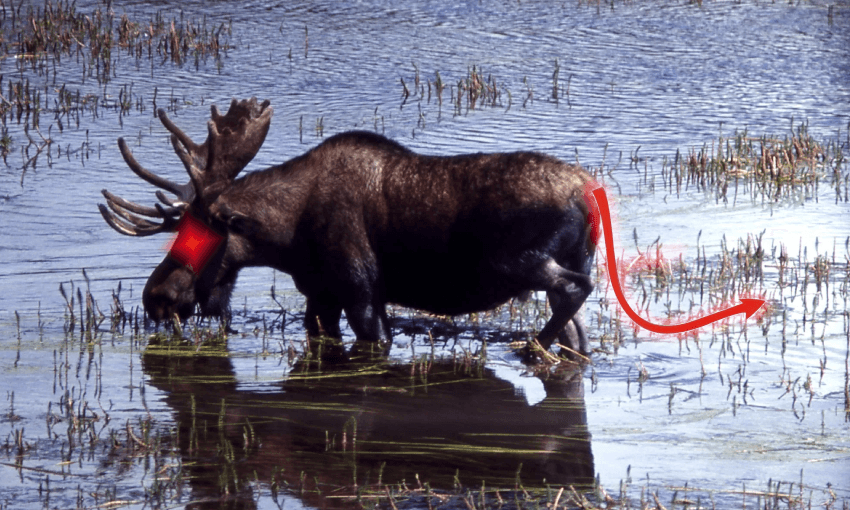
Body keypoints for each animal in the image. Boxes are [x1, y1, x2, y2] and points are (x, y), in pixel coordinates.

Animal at [99, 97, 598, 359]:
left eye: (203, 235)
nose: (155, 297)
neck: (287, 237)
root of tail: (590, 194)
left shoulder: (361, 291)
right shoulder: (320, 295)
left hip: (519, 260)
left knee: (576, 288)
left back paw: (531, 346)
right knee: (577, 328)